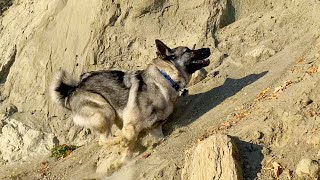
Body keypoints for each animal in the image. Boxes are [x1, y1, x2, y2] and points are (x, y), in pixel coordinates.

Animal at [50, 39, 210, 158]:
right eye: (187, 50)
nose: (208, 48)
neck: (165, 79)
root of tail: (72, 90)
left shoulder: (155, 125)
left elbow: (157, 136)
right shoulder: (131, 125)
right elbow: (128, 143)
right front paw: (125, 151)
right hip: (105, 110)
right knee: (103, 140)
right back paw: (120, 138)